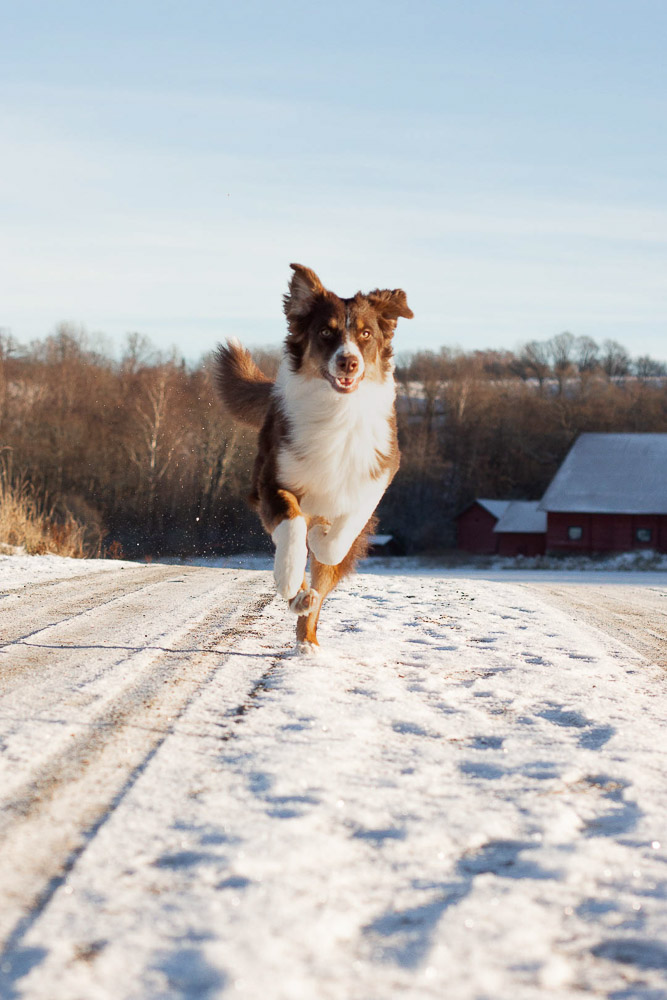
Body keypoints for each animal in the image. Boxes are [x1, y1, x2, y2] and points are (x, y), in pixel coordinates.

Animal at [214, 262, 412, 648]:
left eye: (366, 334)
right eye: (325, 332)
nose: (348, 362)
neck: (336, 410)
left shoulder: (379, 472)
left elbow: (340, 534)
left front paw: (323, 538)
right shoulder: (271, 482)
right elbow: (291, 530)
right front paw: (290, 579)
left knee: (321, 591)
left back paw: (309, 642)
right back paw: (299, 596)